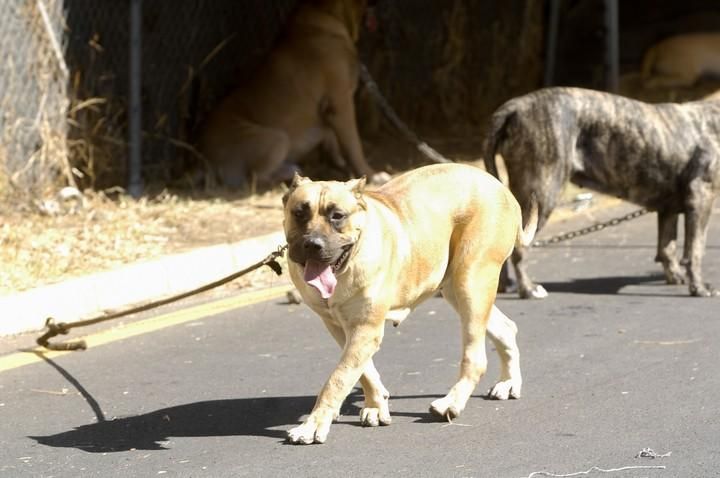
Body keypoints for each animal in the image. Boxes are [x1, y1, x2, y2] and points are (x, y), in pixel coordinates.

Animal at [197, 0, 388, 190]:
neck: (328, 13)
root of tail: (205, 160)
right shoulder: (341, 104)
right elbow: (354, 146)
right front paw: (371, 174)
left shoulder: (330, 112)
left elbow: (333, 139)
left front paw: (339, 162)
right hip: (277, 139)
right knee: (256, 178)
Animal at [280, 164, 536, 444]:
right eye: (299, 213)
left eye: (337, 216)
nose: (312, 244)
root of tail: (501, 187)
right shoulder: (340, 327)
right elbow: (362, 371)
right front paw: (376, 405)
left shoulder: (366, 329)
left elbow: (337, 379)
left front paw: (313, 425)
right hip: (457, 289)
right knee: (506, 328)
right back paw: (508, 383)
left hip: (472, 281)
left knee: (476, 358)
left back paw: (451, 403)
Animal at [484, 84, 720, 296]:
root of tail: (515, 106)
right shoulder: (701, 198)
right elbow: (696, 248)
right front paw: (699, 287)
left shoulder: (668, 209)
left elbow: (667, 247)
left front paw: (675, 277)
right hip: (542, 193)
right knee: (520, 248)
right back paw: (528, 289)